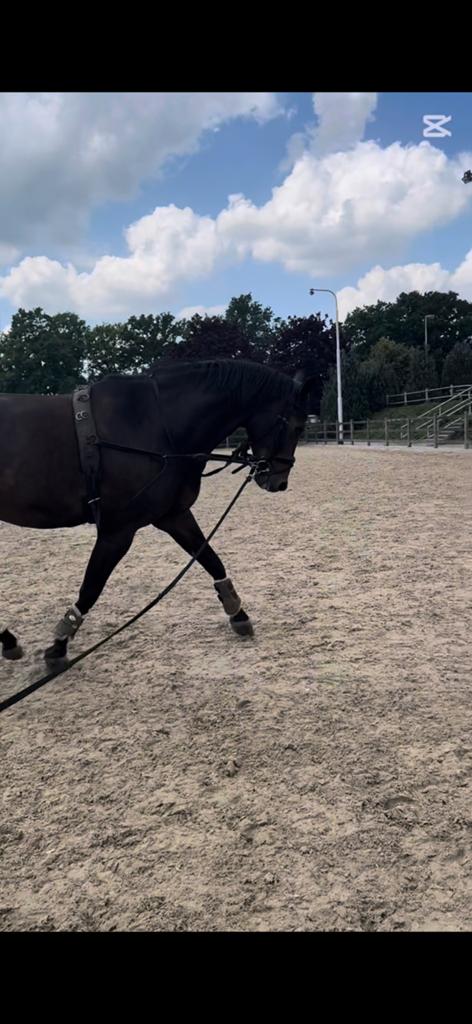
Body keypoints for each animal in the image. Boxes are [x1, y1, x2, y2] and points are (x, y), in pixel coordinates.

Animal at [0, 359, 312, 668]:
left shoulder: (174, 516)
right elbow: (91, 587)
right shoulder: (117, 531)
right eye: (297, 426)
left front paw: (238, 614)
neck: (157, 425)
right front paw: (59, 645)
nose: (278, 482)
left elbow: (211, 559)